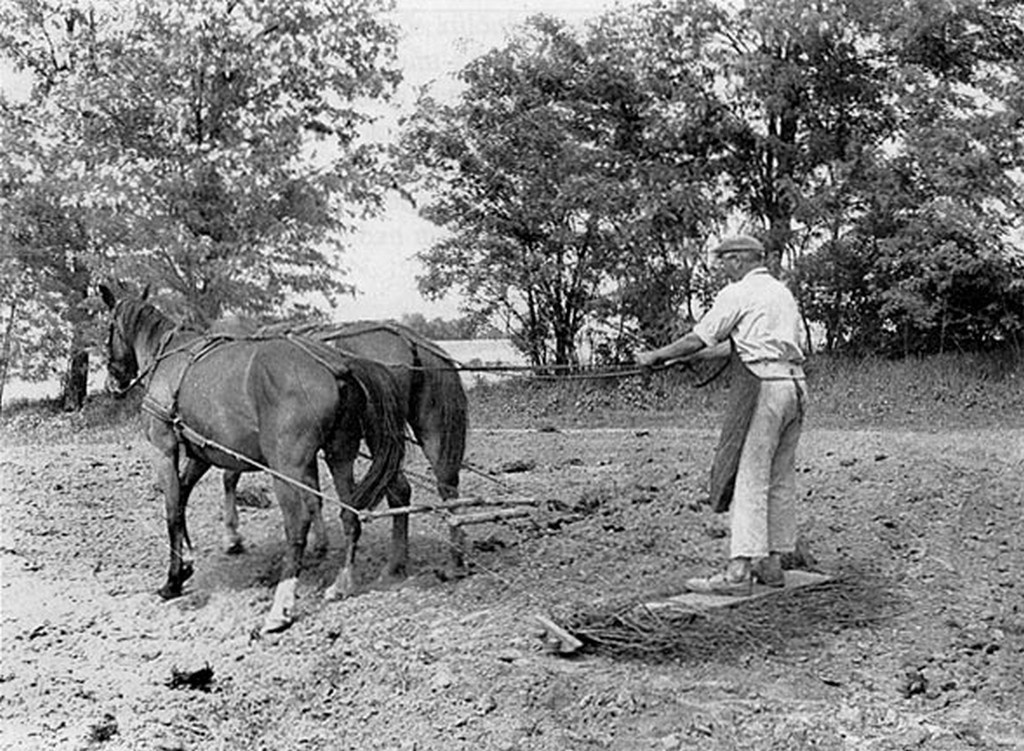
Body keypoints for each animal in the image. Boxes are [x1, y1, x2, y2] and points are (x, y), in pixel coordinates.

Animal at [99, 286, 407, 631]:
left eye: (109, 328)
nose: (112, 382)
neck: (168, 358)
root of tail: (336, 366)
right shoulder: (202, 454)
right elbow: (182, 499)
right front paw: (188, 565)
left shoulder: (164, 450)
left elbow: (172, 512)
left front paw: (172, 580)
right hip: (340, 455)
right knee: (350, 515)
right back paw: (342, 584)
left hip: (286, 467)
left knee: (297, 524)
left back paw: (281, 608)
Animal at [218, 315, 473, 569]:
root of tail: (407, 338)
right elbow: (313, 494)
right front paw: (320, 544)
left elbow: (230, 477)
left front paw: (232, 537)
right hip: (430, 424)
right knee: (447, 483)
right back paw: (455, 558)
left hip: (382, 436)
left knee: (400, 490)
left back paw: (395, 564)